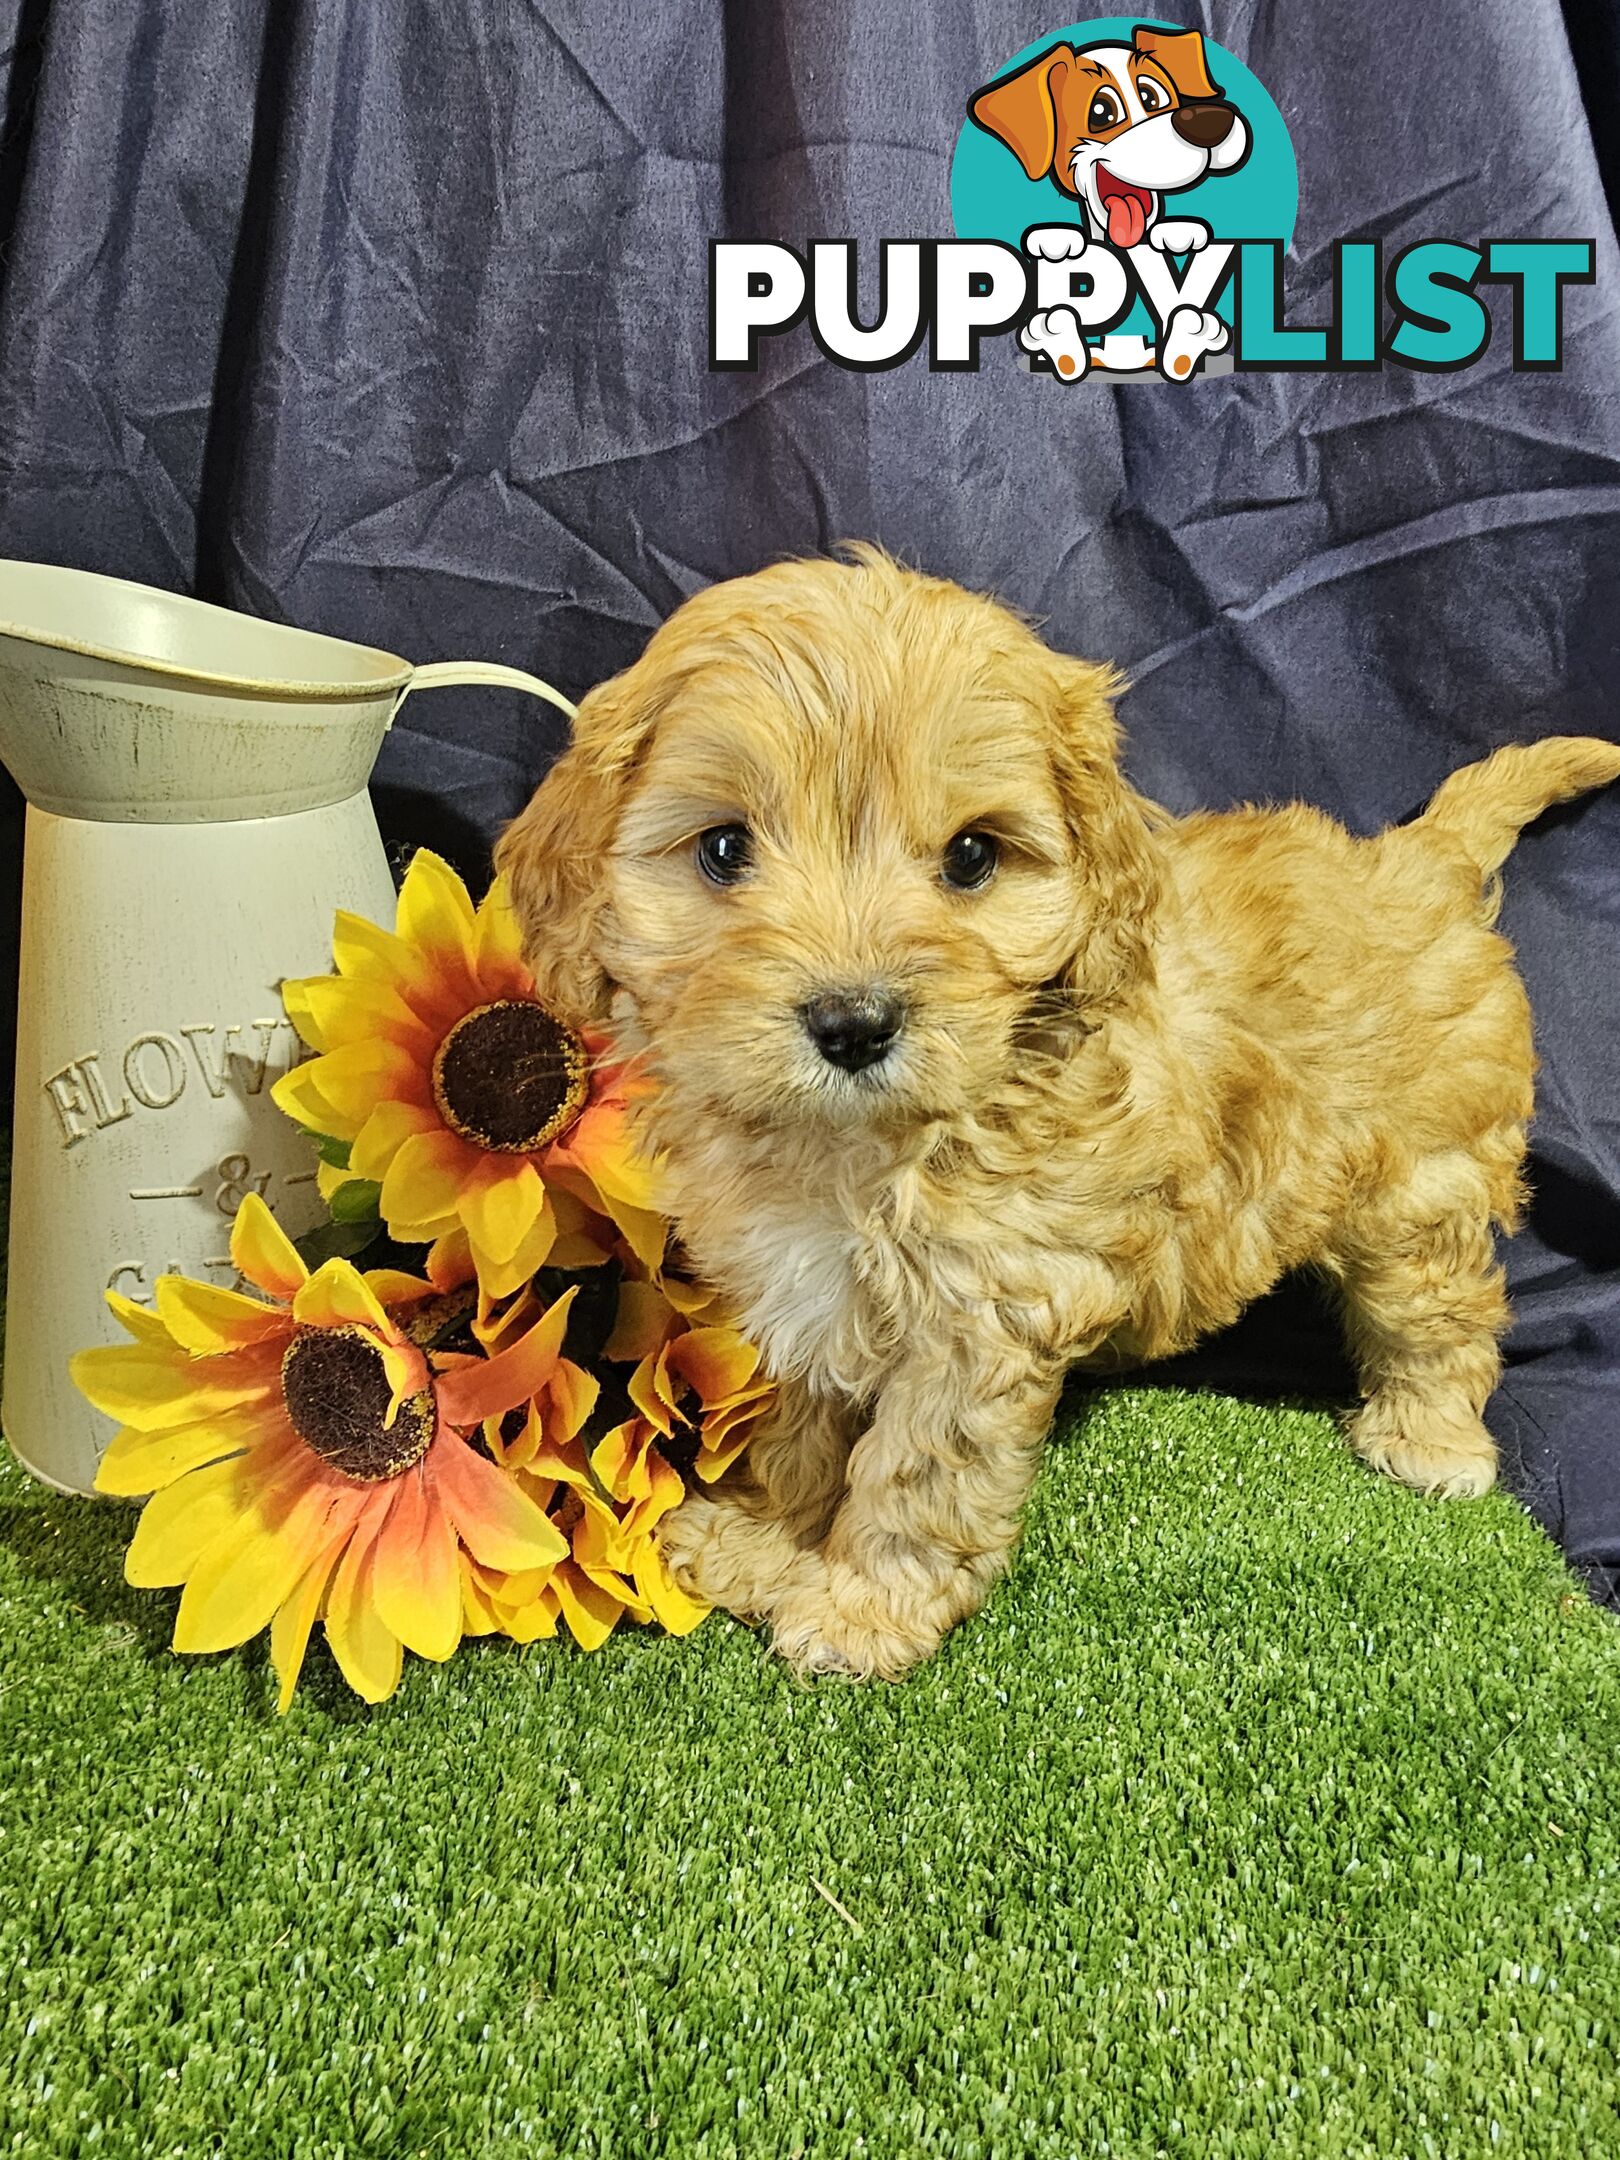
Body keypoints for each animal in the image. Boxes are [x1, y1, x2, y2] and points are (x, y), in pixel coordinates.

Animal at [498, 548, 1620, 1676]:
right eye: (725, 849)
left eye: (971, 858)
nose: (854, 1023)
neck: (862, 1148)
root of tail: (1417, 861)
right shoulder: (809, 1292)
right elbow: (804, 1423)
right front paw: (765, 1536)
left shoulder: (984, 1312)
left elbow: (918, 1474)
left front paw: (864, 1607)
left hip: (1417, 1189)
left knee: (1440, 1313)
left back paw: (1428, 1438)